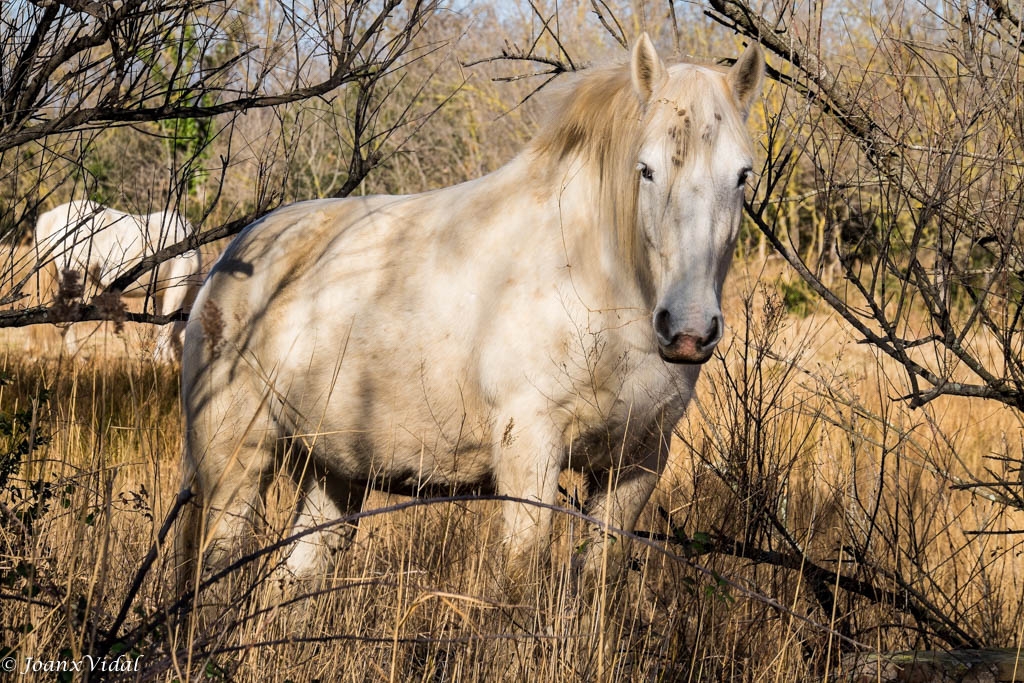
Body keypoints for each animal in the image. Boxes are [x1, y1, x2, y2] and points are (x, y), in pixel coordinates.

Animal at [32, 200, 203, 362]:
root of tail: (54, 214)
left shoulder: (161, 294)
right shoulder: (176, 291)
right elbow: (167, 327)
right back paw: (77, 358)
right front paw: (162, 362)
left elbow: (163, 326)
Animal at [178, 37, 761, 589]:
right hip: (236, 463)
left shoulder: (636, 463)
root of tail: (233, 257)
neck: (599, 285)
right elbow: (520, 581)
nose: (687, 330)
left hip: (332, 473)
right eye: (646, 170)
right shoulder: (530, 452)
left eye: (742, 176)